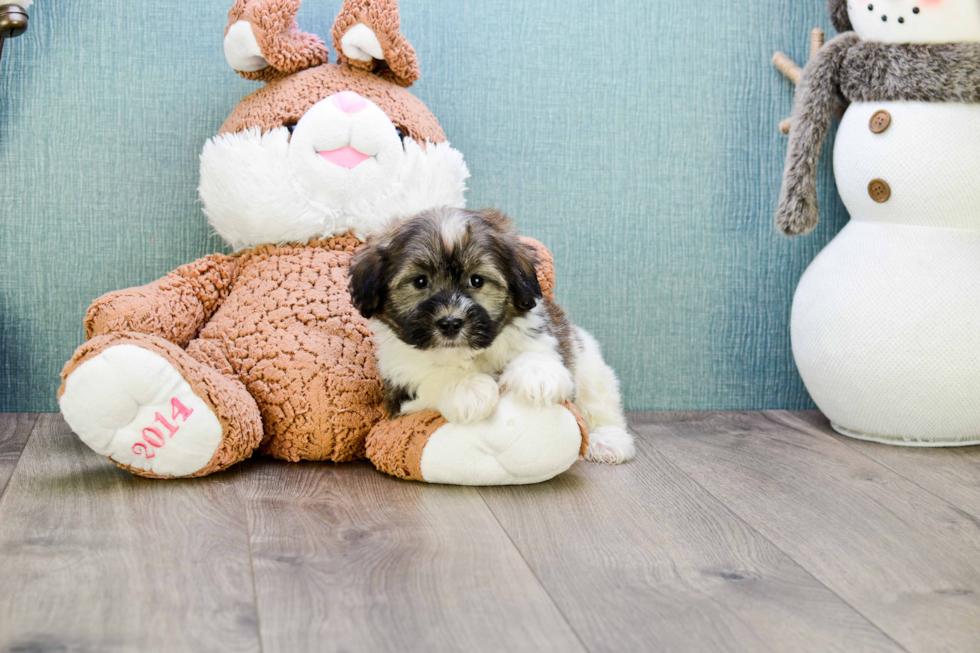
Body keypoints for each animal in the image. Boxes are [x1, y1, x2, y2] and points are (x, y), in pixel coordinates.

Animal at [350, 206, 636, 460]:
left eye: (477, 281)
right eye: (420, 281)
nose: (451, 323)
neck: (467, 355)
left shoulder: (543, 335)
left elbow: (536, 352)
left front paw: (538, 375)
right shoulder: (400, 392)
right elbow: (433, 374)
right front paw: (468, 389)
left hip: (589, 365)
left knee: (600, 404)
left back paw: (607, 440)